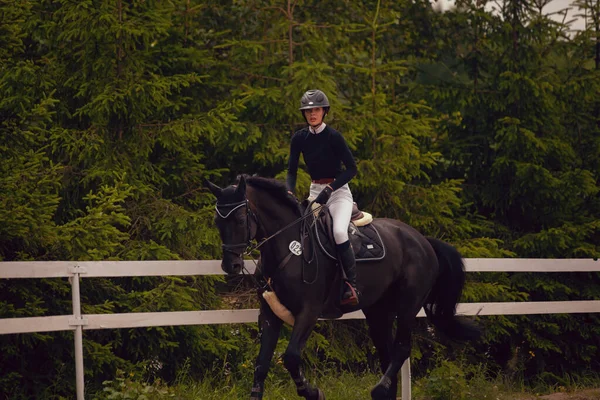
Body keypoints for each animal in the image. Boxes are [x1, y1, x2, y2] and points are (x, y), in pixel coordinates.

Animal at [206, 176, 478, 400]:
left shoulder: (309, 312)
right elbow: (261, 365)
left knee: (401, 348)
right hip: (378, 312)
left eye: (241, 219)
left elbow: (291, 357)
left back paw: (378, 389)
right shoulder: (270, 314)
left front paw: (313, 392)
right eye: (217, 220)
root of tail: (423, 241)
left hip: (408, 305)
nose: (231, 265)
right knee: (386, 352)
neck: (289, 249)